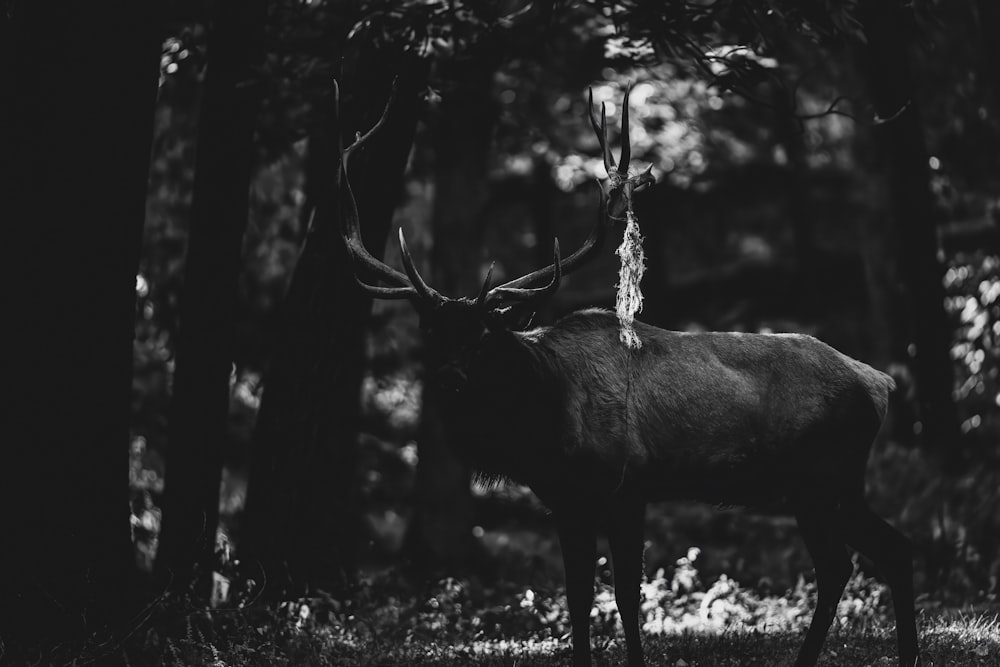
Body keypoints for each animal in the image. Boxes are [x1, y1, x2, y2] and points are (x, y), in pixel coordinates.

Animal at [338, 83, 920, 667]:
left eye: (483, 335)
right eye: (431, 333)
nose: (449, 380)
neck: (542, 425)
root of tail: (879, 382)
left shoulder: (625, 485)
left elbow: (624, 595)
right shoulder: (565, 500)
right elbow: (576, 595)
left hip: (824, 478)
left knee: (855, 560)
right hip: (824, 486)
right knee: (875, 554)